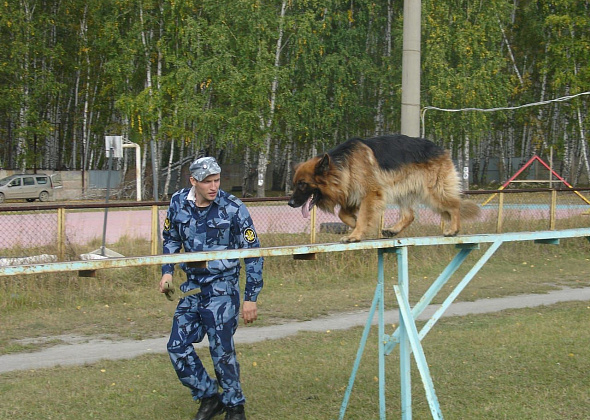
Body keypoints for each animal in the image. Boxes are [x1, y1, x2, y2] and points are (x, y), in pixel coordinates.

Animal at [290, 135, 484, 243]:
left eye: (302, 184)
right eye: (295, 183)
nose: (290, 203)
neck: (343, 165)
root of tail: (442, 149)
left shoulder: (370, 194)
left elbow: (362, 216)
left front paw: (355, 234)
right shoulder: (352, 194)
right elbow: (343, 214)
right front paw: (356, 224)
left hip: (433, 193)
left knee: (454, 205)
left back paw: (453, 229)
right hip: (402, 191)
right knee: (409, 215)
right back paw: (393, 230)